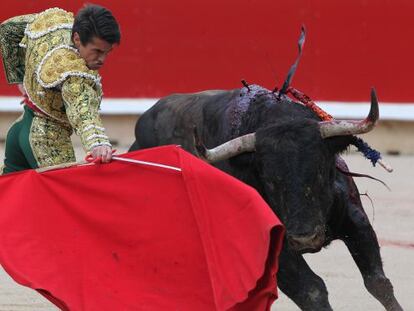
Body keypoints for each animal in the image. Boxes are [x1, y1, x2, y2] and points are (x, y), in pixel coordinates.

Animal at [129, 85, 402, 311]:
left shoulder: (356, 221)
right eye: (269, 179)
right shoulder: (275, 250)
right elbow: (312, 291)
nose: (305, 239)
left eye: (320, 170)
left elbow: (378, 282)